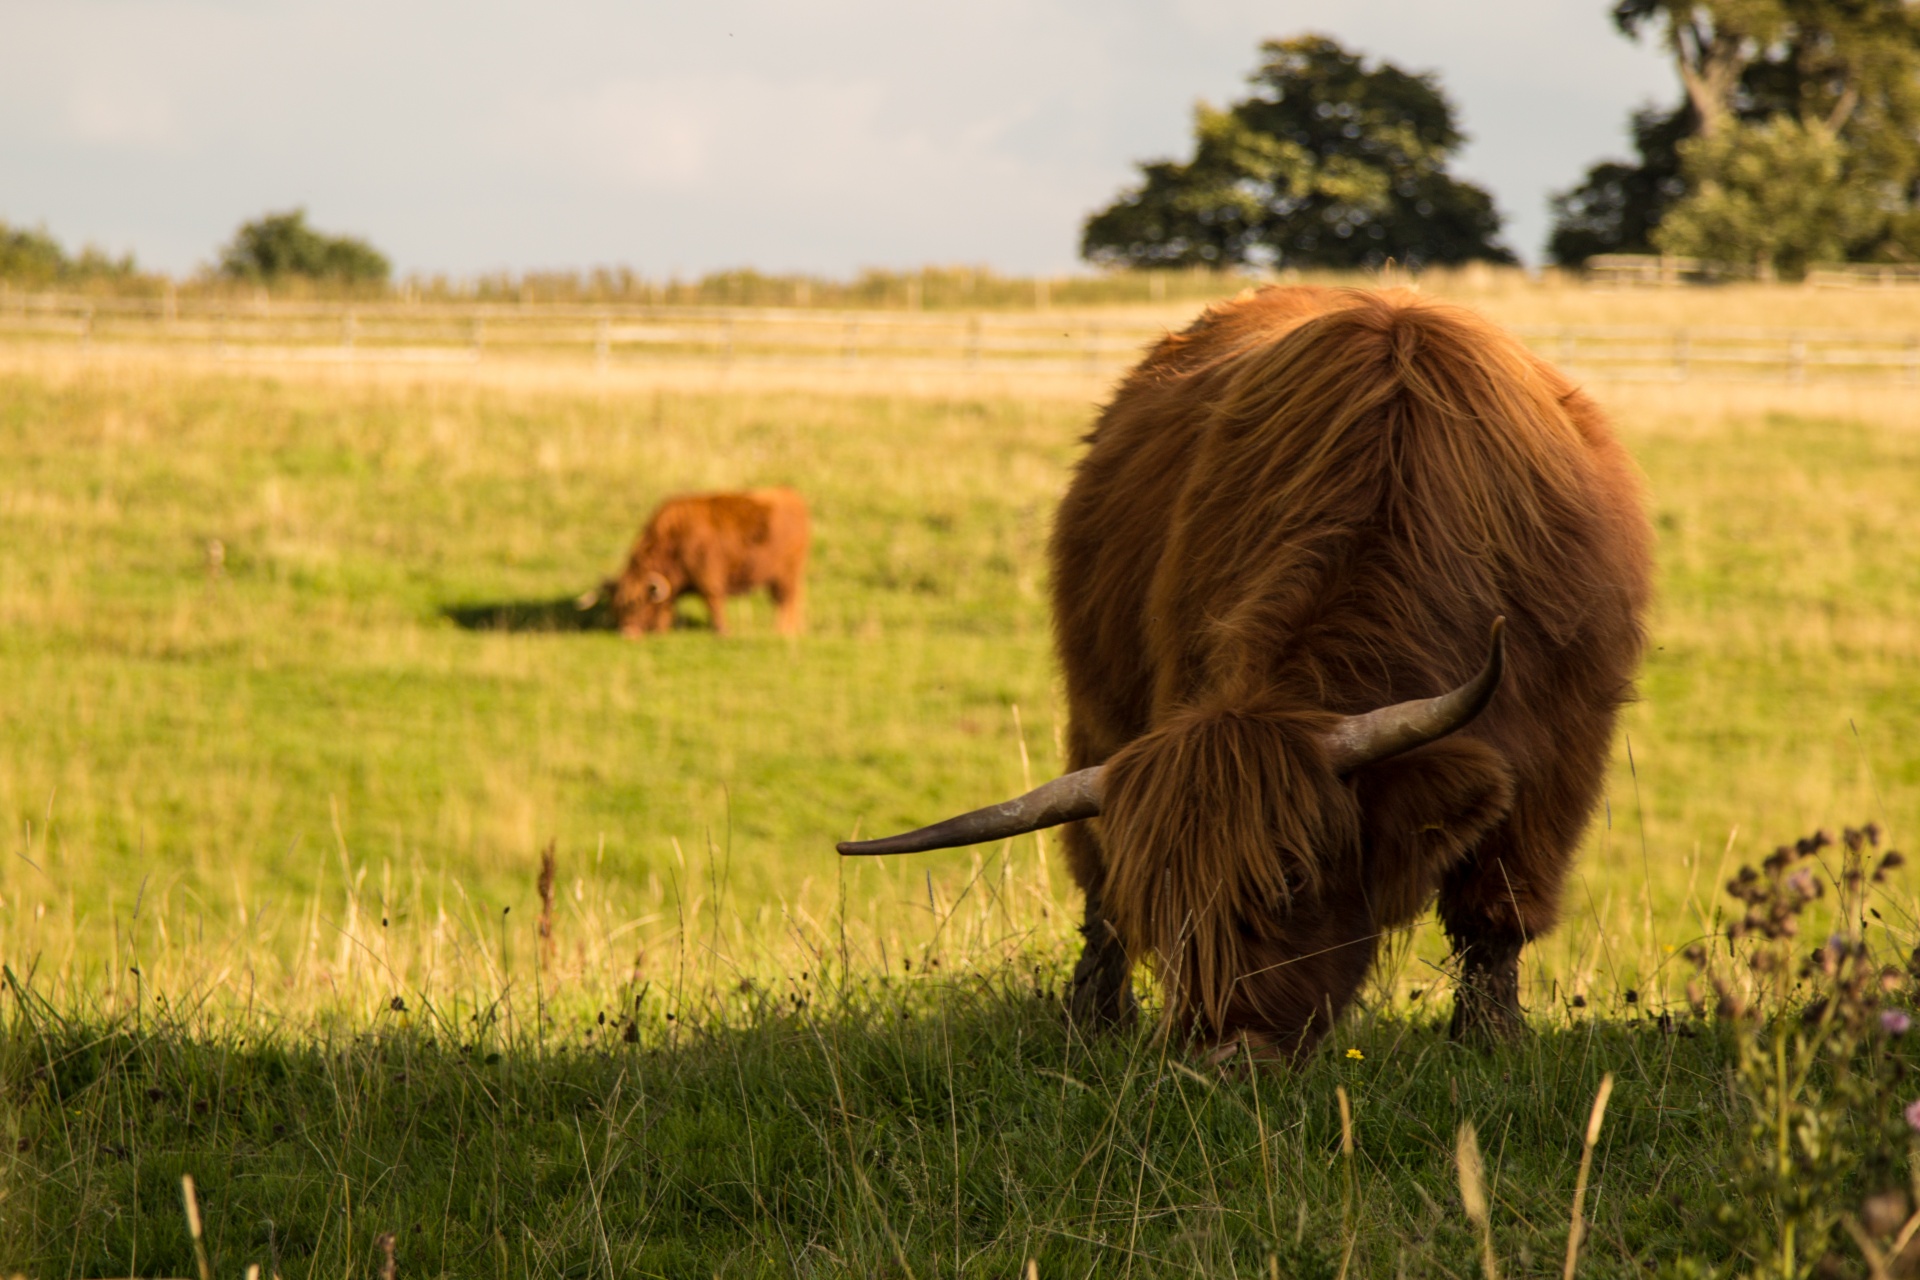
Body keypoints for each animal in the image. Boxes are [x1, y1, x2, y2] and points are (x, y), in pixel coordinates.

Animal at [595, 485, 814, 637]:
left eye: (637, 603)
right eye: (617, 606)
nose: (627, 632)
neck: (675, 540)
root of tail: (791, 495)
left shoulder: (708, 578)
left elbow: (713, 602)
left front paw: (723, 631)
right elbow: (668, 605)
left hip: (786, 575)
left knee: (785, 601)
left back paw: (782, 630)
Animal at [840, 287, 1651, 1059]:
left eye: (1291, 877)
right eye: (1169, 897)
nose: (1223, 1054)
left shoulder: (1556, 757)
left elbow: (1497, 908)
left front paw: (1490, 1039)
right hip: (1097, 716)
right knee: (1099, 892)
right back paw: (1094, 1020)